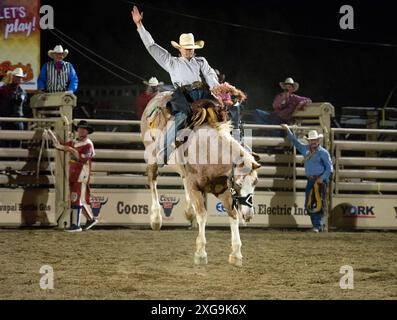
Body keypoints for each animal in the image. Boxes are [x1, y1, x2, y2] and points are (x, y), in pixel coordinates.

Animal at [139, 91, 260, 266]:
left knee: (183, 178)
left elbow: (233, 215)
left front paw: (236, 254)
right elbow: (202, 215)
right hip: (152, 156)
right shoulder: (196, 187)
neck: (209, 152)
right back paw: (156, 219)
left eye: (255, 183)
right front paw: (201, 253)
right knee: (152, 180)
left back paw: (189, 211)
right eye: (238, 184)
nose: (249, 215)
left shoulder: (223, 190)